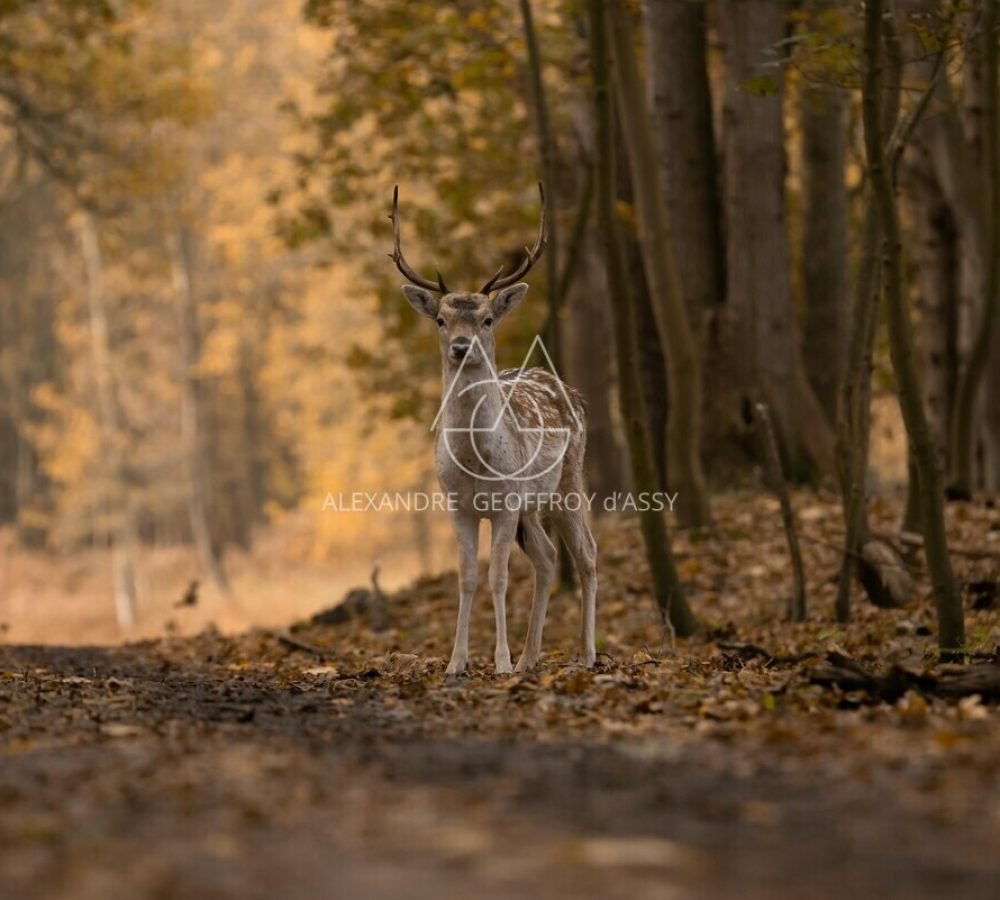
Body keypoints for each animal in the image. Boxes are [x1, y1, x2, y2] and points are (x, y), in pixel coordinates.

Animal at [390, 184, 597, 676]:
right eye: (441, 320)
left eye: (487, 319)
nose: (461, 346)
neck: (476, 463)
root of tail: (572, 390)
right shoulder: (457, 505)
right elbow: (467, 578)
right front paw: (457, 662)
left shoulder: (504, 503)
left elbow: (498, 577)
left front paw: (499, 661)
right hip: (532, 505)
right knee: (548, 558)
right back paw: (530, 658)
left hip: (568, 482)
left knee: (587, 554)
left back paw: (586, 654)